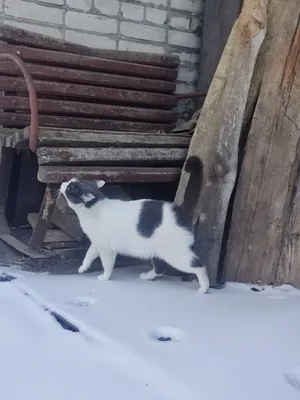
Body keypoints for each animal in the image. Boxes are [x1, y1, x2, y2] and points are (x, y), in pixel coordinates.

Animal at [59, 157, 210, 294]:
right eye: (69, 182)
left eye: (69, 187)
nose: (62, 183)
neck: (93, 209)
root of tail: (178, 210)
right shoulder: (97, 243)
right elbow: (89, 255)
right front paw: (83, 267)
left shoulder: (106, 249)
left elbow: (107, 265)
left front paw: (105, 277)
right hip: (159, 253)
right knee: (160, 268)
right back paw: (147, 276)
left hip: (177, 255)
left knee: (199, 266)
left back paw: (204, 288)